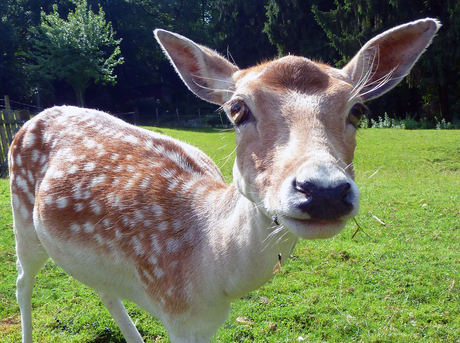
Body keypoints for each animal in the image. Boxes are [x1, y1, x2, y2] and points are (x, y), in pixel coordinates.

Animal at [10, 19, 440, 343]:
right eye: (237, 108)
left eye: (358, 109)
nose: (323, 191)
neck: (214, 271)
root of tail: (34, 116)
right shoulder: (179, 315)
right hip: (20, 214)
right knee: (22, 281)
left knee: (104, 290)